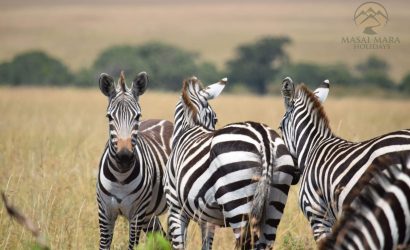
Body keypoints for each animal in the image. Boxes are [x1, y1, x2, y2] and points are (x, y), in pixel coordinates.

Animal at [96, 71, 173, 250]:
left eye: (138, 116)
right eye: (109, 117)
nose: (124, 157)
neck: (120, 177)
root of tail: (165, 122)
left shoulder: (137, 215)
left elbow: (132, 246)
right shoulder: (105, 213)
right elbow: (104, 245)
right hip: (150, 215)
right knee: (164, 239)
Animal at [164, 77, 302, 249]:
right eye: (215, 118)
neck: (191, 127)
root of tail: (263, 137)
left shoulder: (176, 207)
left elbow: (180, 245)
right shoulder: (206, 218)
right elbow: (206, 245)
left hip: (237, 202)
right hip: (275, 199)